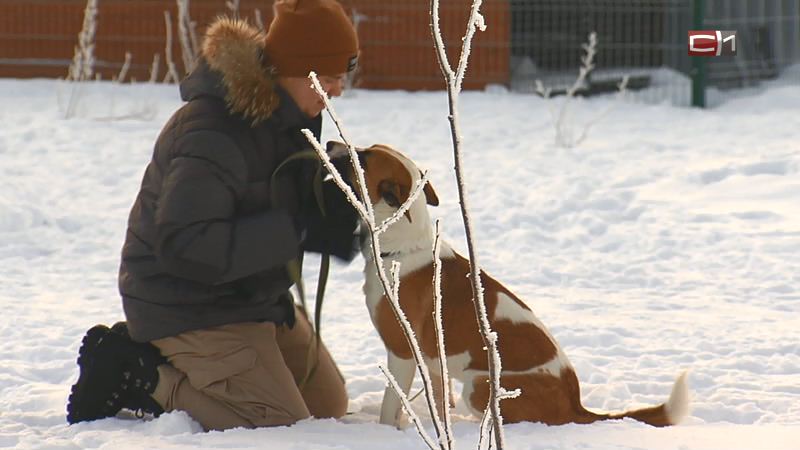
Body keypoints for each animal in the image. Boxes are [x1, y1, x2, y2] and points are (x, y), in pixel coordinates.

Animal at [338, 143, 688, 426]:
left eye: (363, 157)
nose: (328, 143)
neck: (402, 249)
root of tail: (575, 403)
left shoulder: (402, 352)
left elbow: (390, 406)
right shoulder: (434, 360)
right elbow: (439, 401)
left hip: (480, 387)